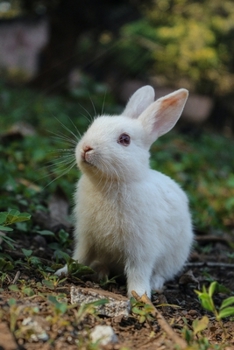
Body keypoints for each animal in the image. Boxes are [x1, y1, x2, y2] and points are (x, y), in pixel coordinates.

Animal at [55, 85, 193, 298]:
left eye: (125, 139)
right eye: (93, 125)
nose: (86, 148)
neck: (110, 183)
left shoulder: (142, 248)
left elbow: (138, 271)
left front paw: (140, 295)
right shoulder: (86, 237)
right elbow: (80, 256)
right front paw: (63, 271)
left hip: (175, 256)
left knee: (162, 273)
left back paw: (155, 284)